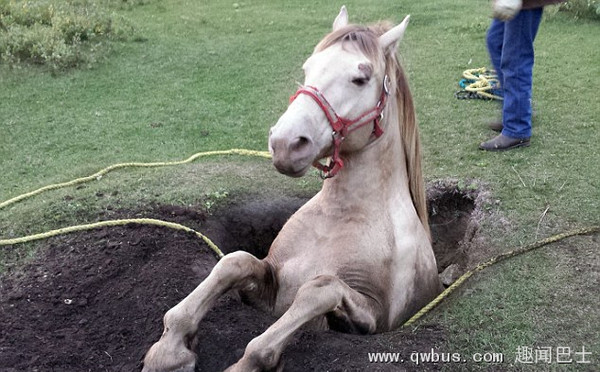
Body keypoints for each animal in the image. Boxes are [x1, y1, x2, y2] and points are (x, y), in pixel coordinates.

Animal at [143, 6, 442, 372]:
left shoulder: (374, 316)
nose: (286, 143)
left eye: (361, 78)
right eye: (308, 68)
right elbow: (234, 262)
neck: (341, 218)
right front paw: (169, 350)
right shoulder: (269, 286)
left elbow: (320, 289)